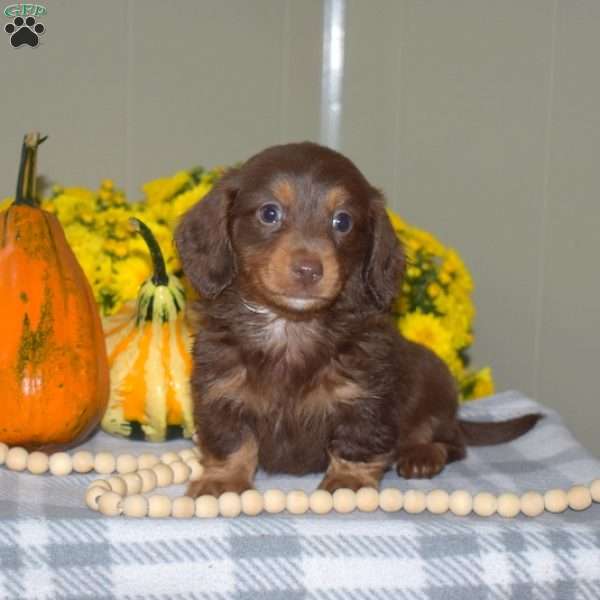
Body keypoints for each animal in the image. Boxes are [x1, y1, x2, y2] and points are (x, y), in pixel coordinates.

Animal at [175, 142, 540, 496]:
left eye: (342, 221)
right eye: (269, 213)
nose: (308, 270)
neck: (292, 327)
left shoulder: (365, 398)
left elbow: (356, 441)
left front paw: (349, 480)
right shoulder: (220, 394)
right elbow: (231, 442)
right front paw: (224, 481)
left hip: (437, 384)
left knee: (453, 443)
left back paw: (423, 454)